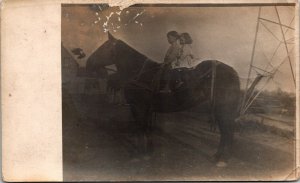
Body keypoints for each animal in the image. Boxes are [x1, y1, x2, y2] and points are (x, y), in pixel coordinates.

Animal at [85, 32, 240, 166]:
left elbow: (140, 128)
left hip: (224, 108)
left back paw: (222, 159)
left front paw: (138, 154)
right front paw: (148, 152)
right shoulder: (147, 109)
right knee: (225, 131)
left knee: (227, 131)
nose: (88, 63)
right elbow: (146, 129)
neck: (139, 73)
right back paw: (217, 157)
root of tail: (231, 71)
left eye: (104, 47)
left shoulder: (138, 107)